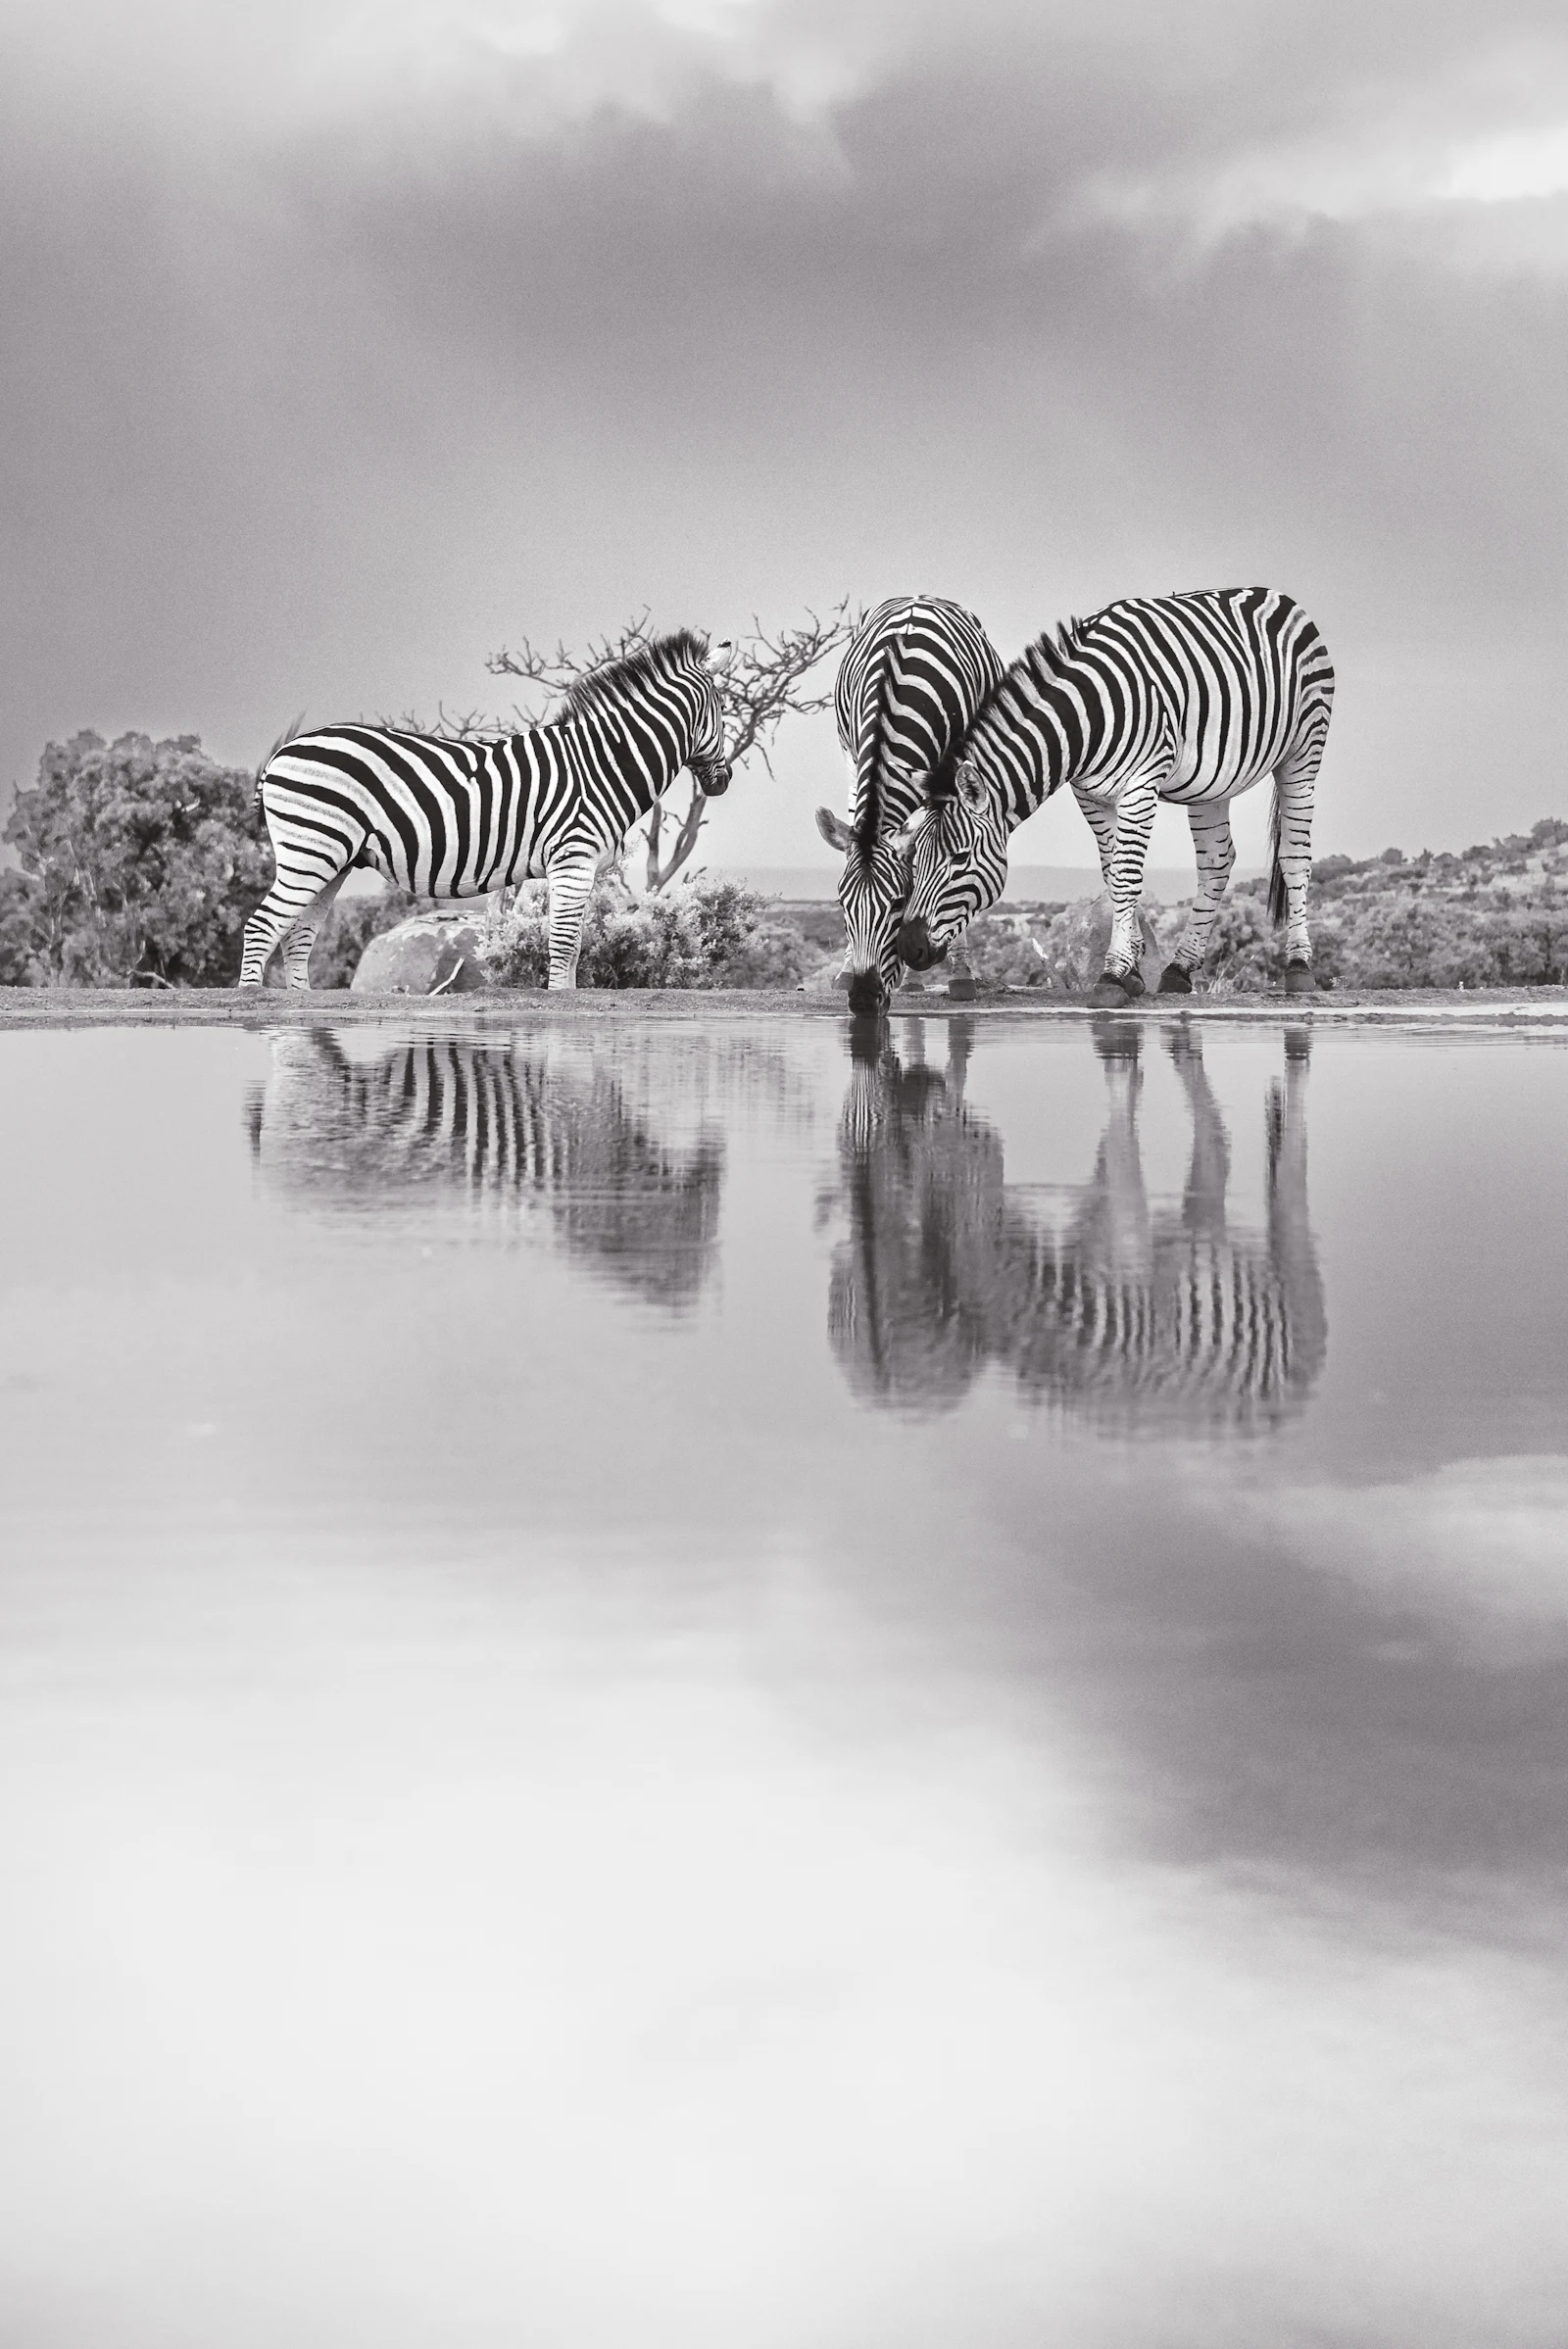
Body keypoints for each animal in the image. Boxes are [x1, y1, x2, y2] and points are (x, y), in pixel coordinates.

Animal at [240, 631, 733, 991]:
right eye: (724, 711)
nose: (724, 781)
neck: (601, 763)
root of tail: (285, 752)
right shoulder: (573, 858)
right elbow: (565, 944)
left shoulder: (577, 865)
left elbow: (574, 947)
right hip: (311, 849)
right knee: (262, 926)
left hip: (330, 859)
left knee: (297, 937)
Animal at [813, 595, 1005, 1015]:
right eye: (841, 904)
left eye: (898, 903)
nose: (863, 1001)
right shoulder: (856, 755)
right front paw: (852, 968)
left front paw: (958, 975)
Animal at [894, 588, 1335, 1007]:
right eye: (913, 857)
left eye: (959, 858)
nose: (909, 949)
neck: (1084, 718)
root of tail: (1275, 594)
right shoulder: (1089, 794)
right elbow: (1113, 873)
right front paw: (1134, 972)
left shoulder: (1140, 786)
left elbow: (1125, 877)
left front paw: (1111, 976)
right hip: (1213, 781)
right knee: (1216, 861)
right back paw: (1178, 969)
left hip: (1303, 752)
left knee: (1294, 856)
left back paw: (1299, 968)